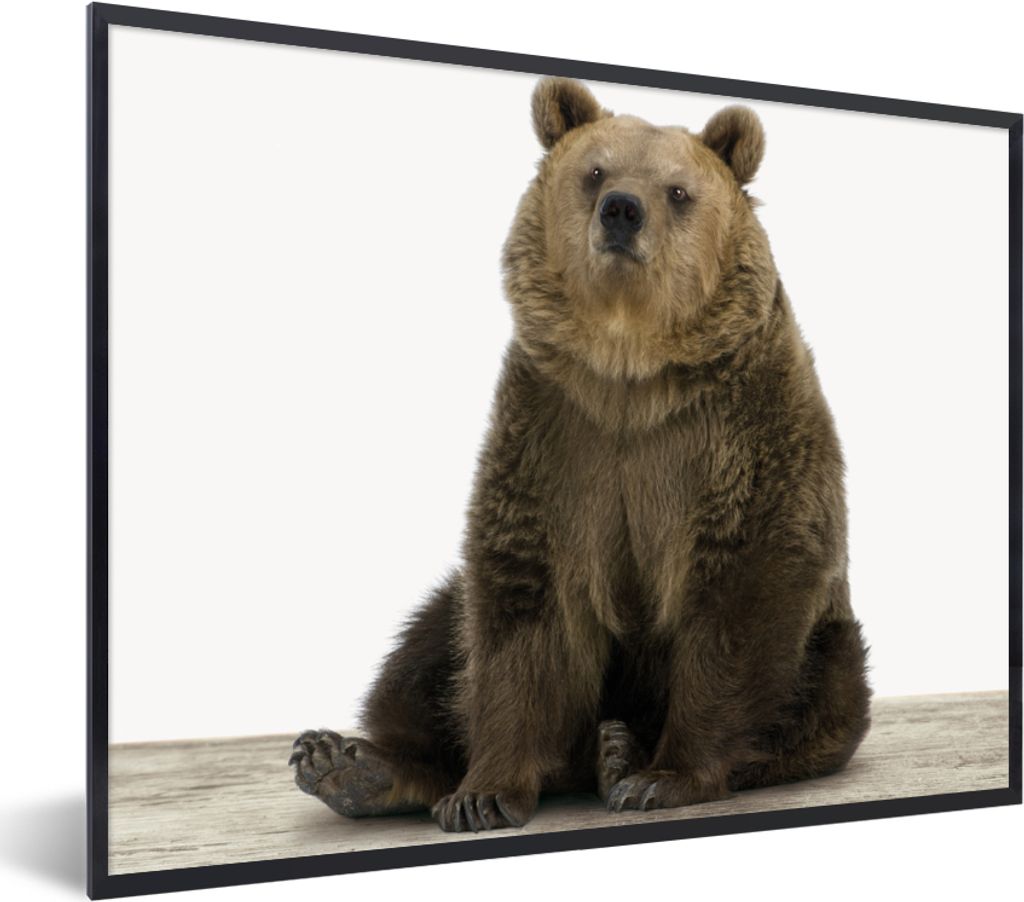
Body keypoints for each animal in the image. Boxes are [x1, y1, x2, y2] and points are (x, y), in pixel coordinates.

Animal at [289, 77, 871, 833]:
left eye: (678, 190)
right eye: (595, 171)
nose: (622, 209)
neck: (629, 371)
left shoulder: (740, 432)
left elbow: (742, 595)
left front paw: (664, 777)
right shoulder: (555, 436)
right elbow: (521, 608)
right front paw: (481, 793)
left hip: (829, 651)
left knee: (822, 689)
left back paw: (618, 753)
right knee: (429, 645)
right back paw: (351, 764)